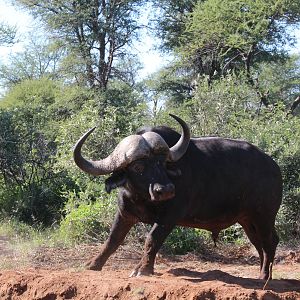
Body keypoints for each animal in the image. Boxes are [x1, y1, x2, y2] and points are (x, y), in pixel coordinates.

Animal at [72, 114, 282, 278]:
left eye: (163, 162)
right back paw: (261, 273)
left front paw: (143, 269)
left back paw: (264, 276)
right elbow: (112, 240)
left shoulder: (170, 217)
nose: (166, 190)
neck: (144, 198)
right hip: (247, 220)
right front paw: (93, 264)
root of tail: (273, 166)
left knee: (270, 241)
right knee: (259, 244)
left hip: (264, 217)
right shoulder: (125, 213)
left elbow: (152, 239)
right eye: (138, 167)